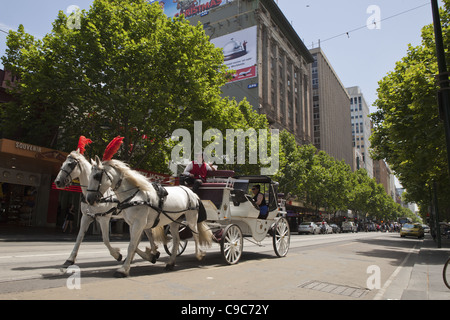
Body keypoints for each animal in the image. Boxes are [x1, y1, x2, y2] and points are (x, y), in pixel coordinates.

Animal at [54, 136, 161, 268]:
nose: (57, 182)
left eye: (70, 164)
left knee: (145, 234)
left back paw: (151, 253)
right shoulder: (86, 216)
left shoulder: (104, 217)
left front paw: (117, 255)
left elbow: (105, 239)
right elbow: (79, 237)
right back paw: (150, 253)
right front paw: (70, 259)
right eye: (63, 163)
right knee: (144, 234)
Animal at [86, 138, 213, 278]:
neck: (135, 196)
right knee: (176, 240)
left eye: (97, 176)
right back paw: (170, 263)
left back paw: (199, 254)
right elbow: (134, 245)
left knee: (195, 235)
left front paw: (123, 269)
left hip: (191, 219)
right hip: (174, 222)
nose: (89, 199)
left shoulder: (138, 223)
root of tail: (191, 192)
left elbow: (132, 246)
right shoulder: (133, 224)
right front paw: (149, 256)